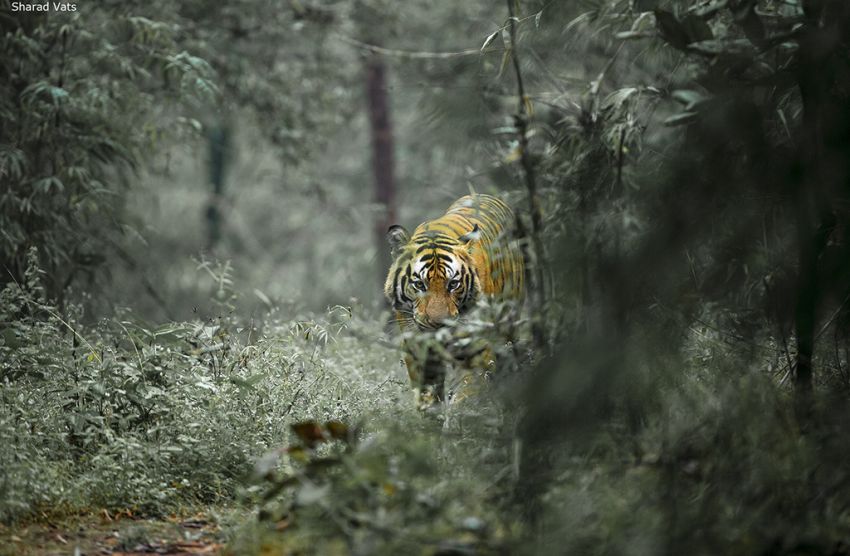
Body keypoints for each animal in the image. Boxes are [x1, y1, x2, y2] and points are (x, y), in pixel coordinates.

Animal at [380, 194, 520, 408]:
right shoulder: (418, 350)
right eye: (419, 284)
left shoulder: (477, 349)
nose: (439, 323)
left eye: (453, 284)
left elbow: (467, 396)